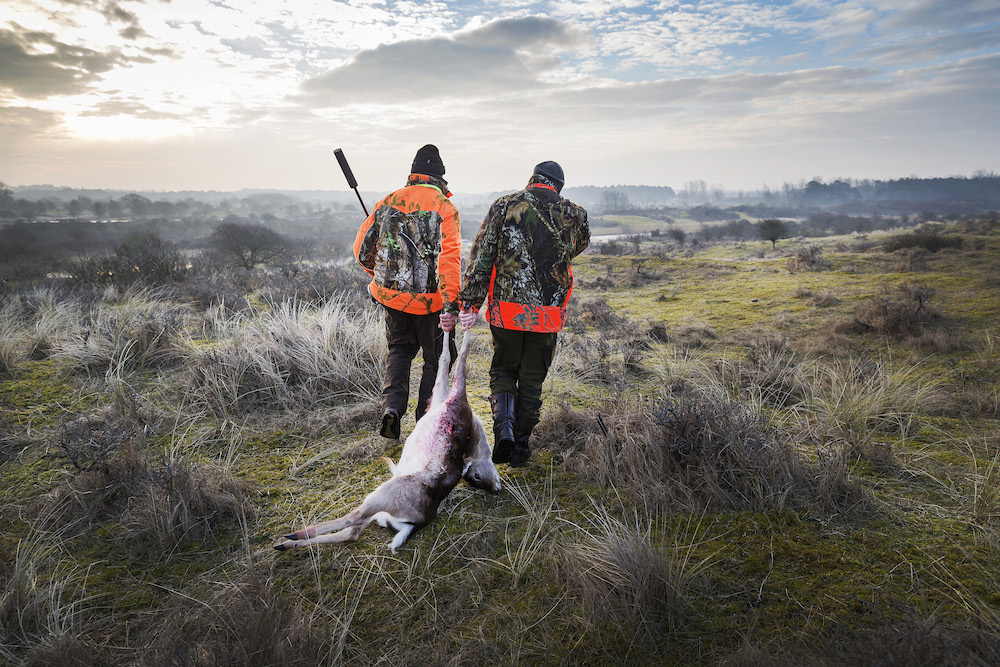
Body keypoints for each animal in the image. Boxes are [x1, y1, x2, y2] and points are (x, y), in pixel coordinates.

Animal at [276, 328, 500, 552]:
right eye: (476, 477)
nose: (496, 488)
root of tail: (414, 524)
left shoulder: (452, 388)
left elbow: (453, 357)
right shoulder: (441, 392)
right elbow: (446, 359)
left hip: (383, 495)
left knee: (353, 519)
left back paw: (293, 535)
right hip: (380, 511)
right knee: (353, 532)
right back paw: (287, 544)